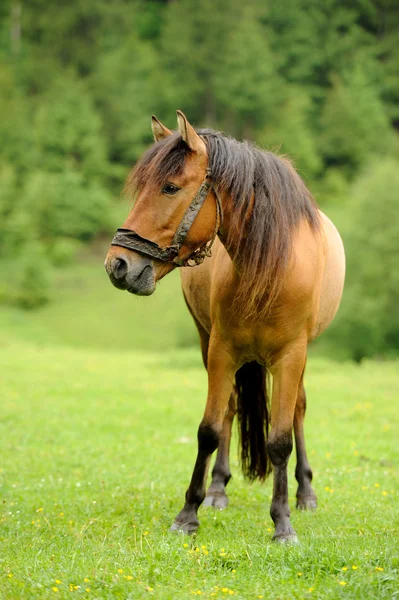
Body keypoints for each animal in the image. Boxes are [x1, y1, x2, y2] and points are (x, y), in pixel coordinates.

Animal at [104, 110, 346, 540]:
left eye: (170, 187)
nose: (117, 264)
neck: (269, 267)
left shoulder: (291, 357)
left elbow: (280, 439)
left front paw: (283, 522)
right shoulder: (221, 352)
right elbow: (209, 430)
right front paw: (189, 512)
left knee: (298, 411)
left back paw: (305, 492)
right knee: (231, 409)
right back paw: (218, 488)